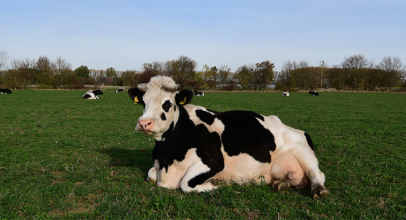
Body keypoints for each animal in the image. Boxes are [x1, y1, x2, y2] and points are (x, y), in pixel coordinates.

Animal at [128, 76, 328, 200]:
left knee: (317, 174)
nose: (144, 123)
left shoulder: (215, 161)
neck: (168, 154)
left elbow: (186, 184)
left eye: (168, 103)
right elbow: (151, 175)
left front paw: (215, 184)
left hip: (302, 150)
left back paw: (319, 190)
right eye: (143, 103)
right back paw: (280, 185)